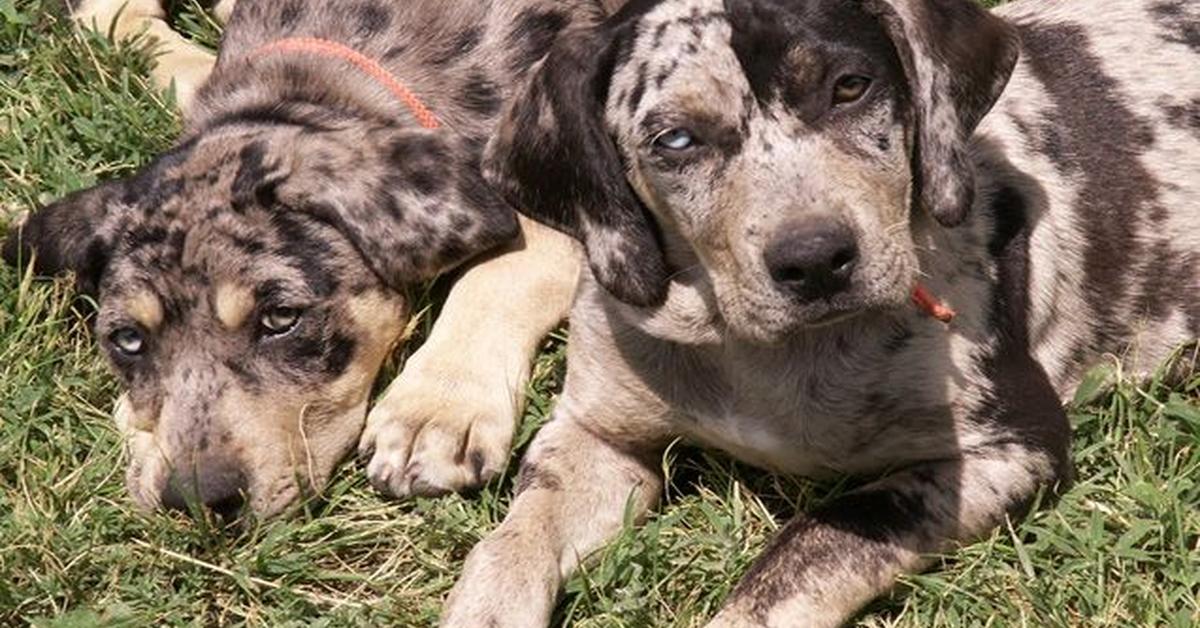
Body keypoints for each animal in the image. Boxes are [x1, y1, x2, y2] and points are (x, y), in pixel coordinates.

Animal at [444, 0, 1200, 624]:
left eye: (849, 86)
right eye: (677, 140)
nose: (815, 260)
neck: (764, 355)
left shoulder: (1014, 446)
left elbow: (811, 544)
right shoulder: (594, 434)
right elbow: (511, 542)